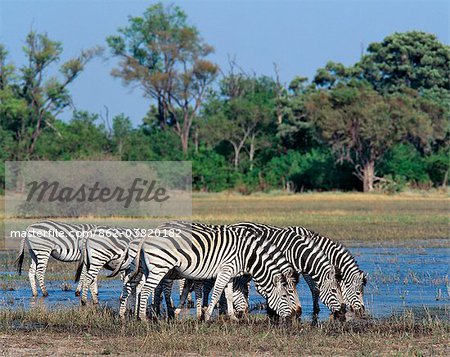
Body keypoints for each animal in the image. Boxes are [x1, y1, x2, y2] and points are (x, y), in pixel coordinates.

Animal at [130, 220, 300, 320]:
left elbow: (229, 295)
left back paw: (144, 315)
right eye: (286, 295)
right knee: (146, 290)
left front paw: (233, 318)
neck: (246, 255)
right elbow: (217, 293)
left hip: (149, 269)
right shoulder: (225, 270)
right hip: (159, 267)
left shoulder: (230, 274)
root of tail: (148, 235)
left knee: (143, 289)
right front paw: (206, 316)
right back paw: (144, 319)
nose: (294, 316)